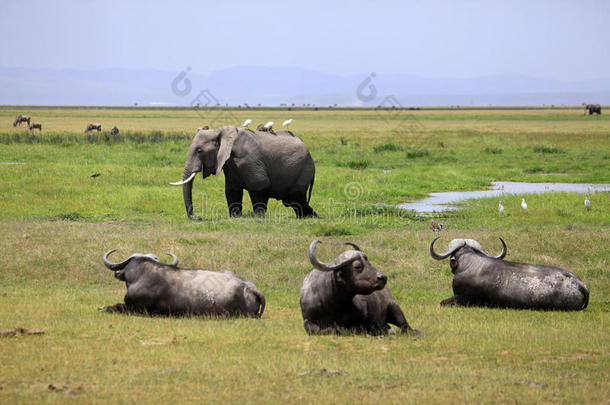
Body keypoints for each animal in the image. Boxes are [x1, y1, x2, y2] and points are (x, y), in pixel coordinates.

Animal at [169, 125, 316, 218]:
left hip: (304, 169)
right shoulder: (230, 165)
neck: (220, 131)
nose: (198, 217)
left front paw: (259, 218)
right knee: (294, 201)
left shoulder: (248, 159)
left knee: (296, 198)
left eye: (199, 151)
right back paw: (310, 217)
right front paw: (235, 217)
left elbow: (260, 184)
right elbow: (232, 190)